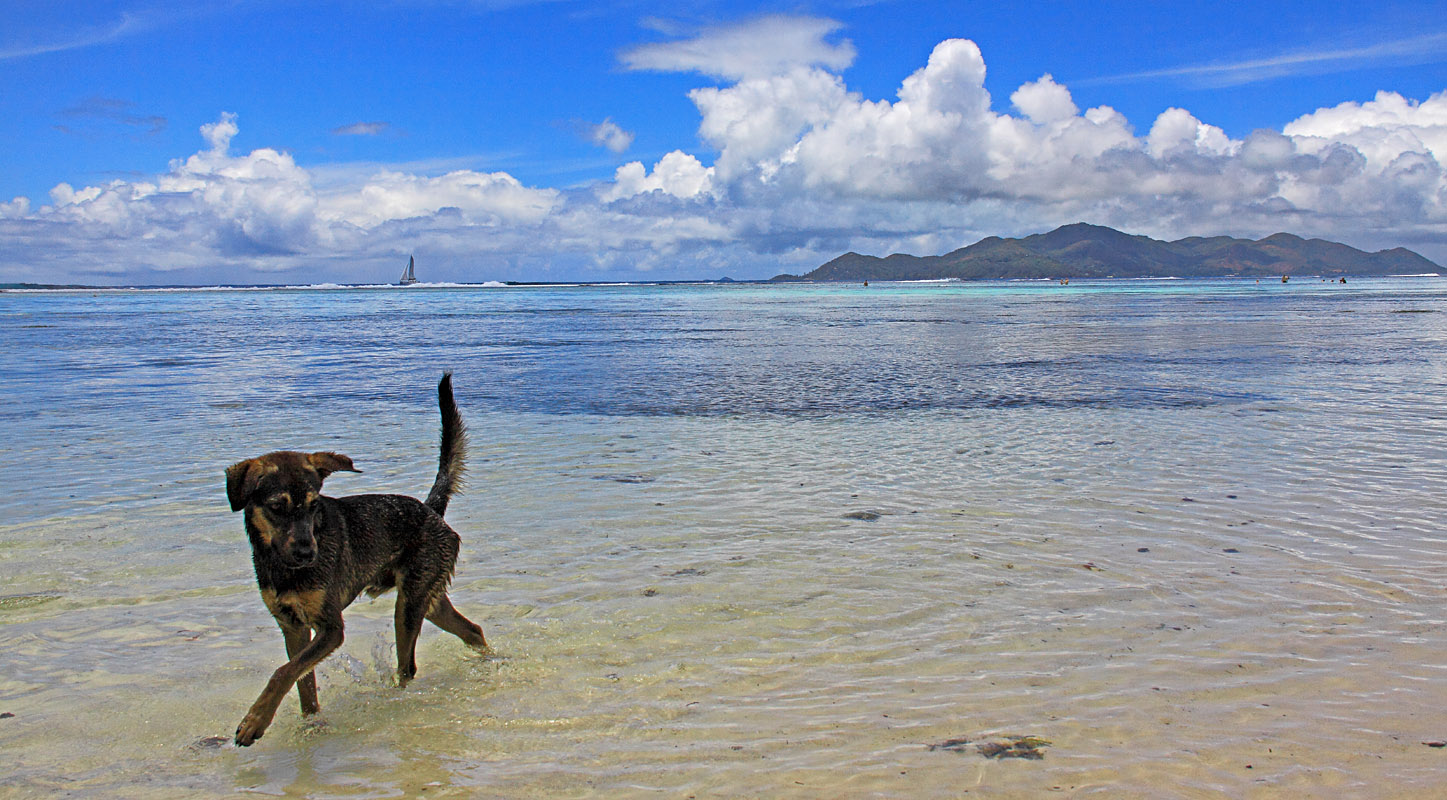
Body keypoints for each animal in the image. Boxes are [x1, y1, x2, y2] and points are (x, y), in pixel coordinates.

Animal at [224, 370, 486, 746]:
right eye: (277, 507)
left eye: (314, 505)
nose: (308, 553)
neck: (283, 566)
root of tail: (431, 511)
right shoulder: (293, 627)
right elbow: (301, 680)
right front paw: (310, 724)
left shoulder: (331, 628)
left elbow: (282, 672)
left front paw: (254, 722)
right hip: (428, 599)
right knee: (472, 630)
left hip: (408, 607)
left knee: (408, 667)